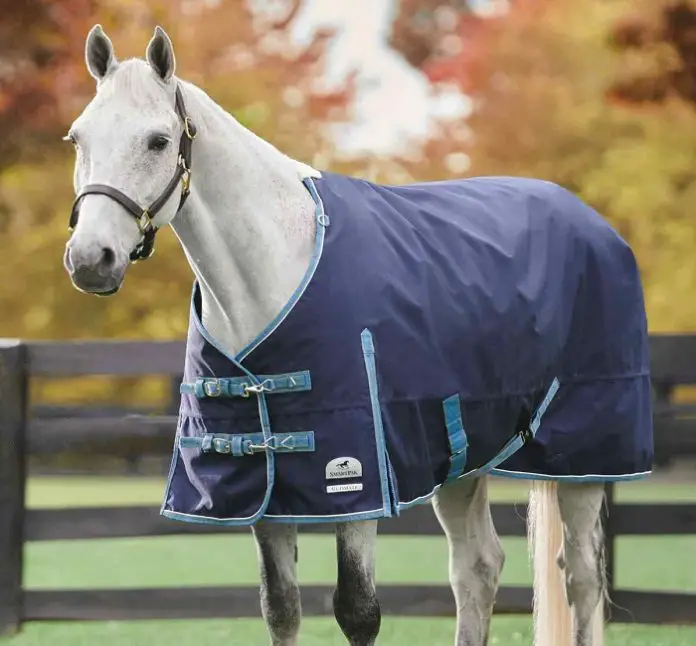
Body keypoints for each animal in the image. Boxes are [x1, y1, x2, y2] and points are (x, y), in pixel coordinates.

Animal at [62, 25, 653, 646]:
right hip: (463, 456)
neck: (278, 267)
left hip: (585, 459)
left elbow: (358, 610)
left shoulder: (354, 481)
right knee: (478, 568)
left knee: (581, 577)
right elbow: (281, 608)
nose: (91, 260)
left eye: (157, 141)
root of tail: (594, 223)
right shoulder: (267, 492)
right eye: (77, 138)